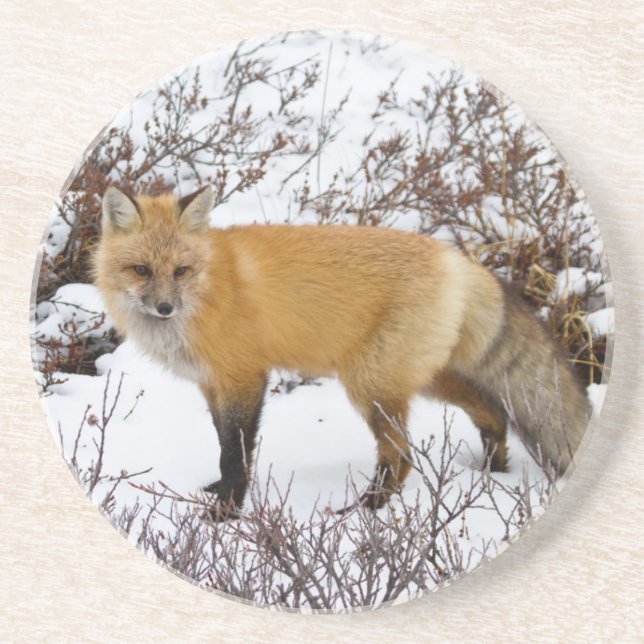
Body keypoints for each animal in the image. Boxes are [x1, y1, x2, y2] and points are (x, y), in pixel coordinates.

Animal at [93, 185, 591, 520]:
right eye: (141, 270)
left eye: (181, 270)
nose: (164, 308)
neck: (209, 289)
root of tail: (457, 259)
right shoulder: (212, 385)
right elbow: (224, 444)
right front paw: (218, 493)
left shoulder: (244, 377)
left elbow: (235, 452)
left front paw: (227, 512)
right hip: (421, 379)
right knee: (492, 412)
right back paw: (491, 473)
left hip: (370, 385)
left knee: (402, 456)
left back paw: (365, 511)